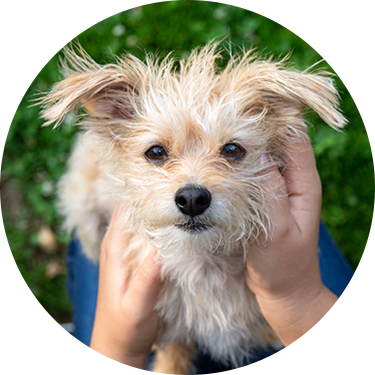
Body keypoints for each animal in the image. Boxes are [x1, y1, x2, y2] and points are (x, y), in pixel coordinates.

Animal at [40, 42, 346, 374]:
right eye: (156, 152)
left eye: (232, 149)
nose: (191, 199)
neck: (204, 262)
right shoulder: (170, 330)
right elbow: (173, 355)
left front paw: (271, 333)